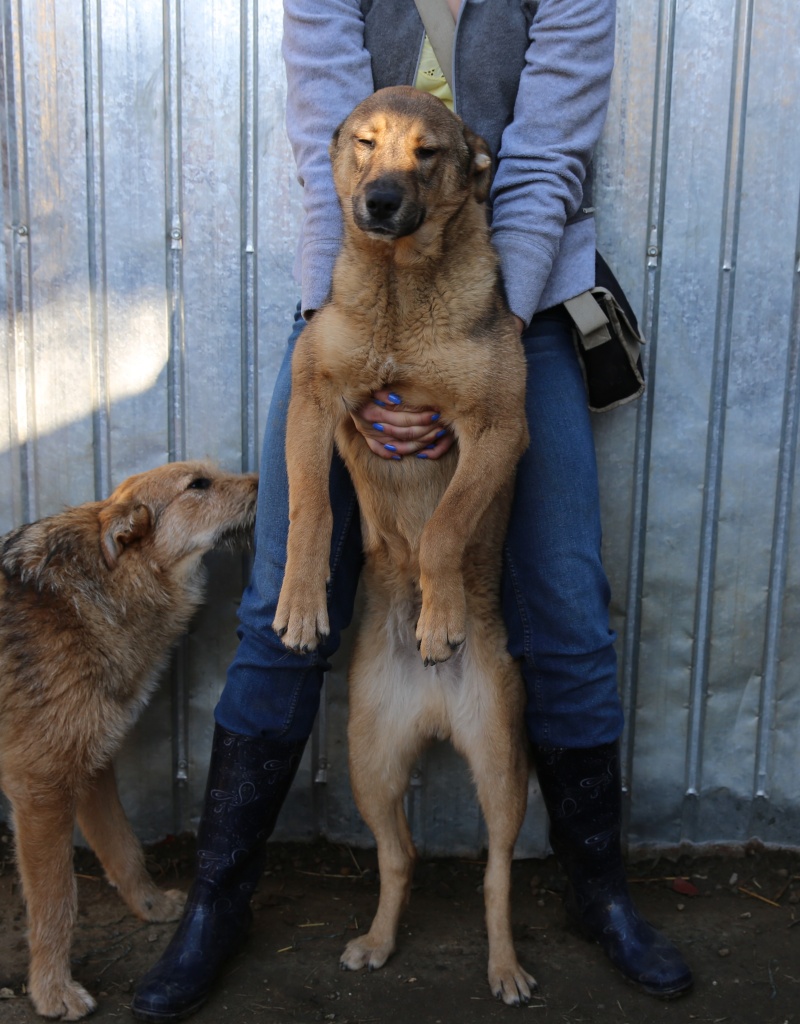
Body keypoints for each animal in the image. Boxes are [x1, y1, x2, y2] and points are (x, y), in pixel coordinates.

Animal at [0, 462, 256, 1015]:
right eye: (198, 485)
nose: (271, 478)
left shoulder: (94, 767)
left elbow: (124, 849)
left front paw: (153, 906)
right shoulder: (41, 789)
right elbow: (56, 902)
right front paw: (52, 991)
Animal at [272, 86, 532, 999]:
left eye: (428, 153)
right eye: (367, 142)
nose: (380, 203)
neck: (395, 290)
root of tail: (432, 711)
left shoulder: (498, 428)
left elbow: (446, 527)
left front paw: (440, 615)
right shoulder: (314, 398)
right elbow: (310, 509)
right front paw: (301, 603)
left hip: (502, 767)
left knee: (495, 875)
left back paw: (505, 966)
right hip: (369, 764)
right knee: (400, 854)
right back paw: (378, 940)